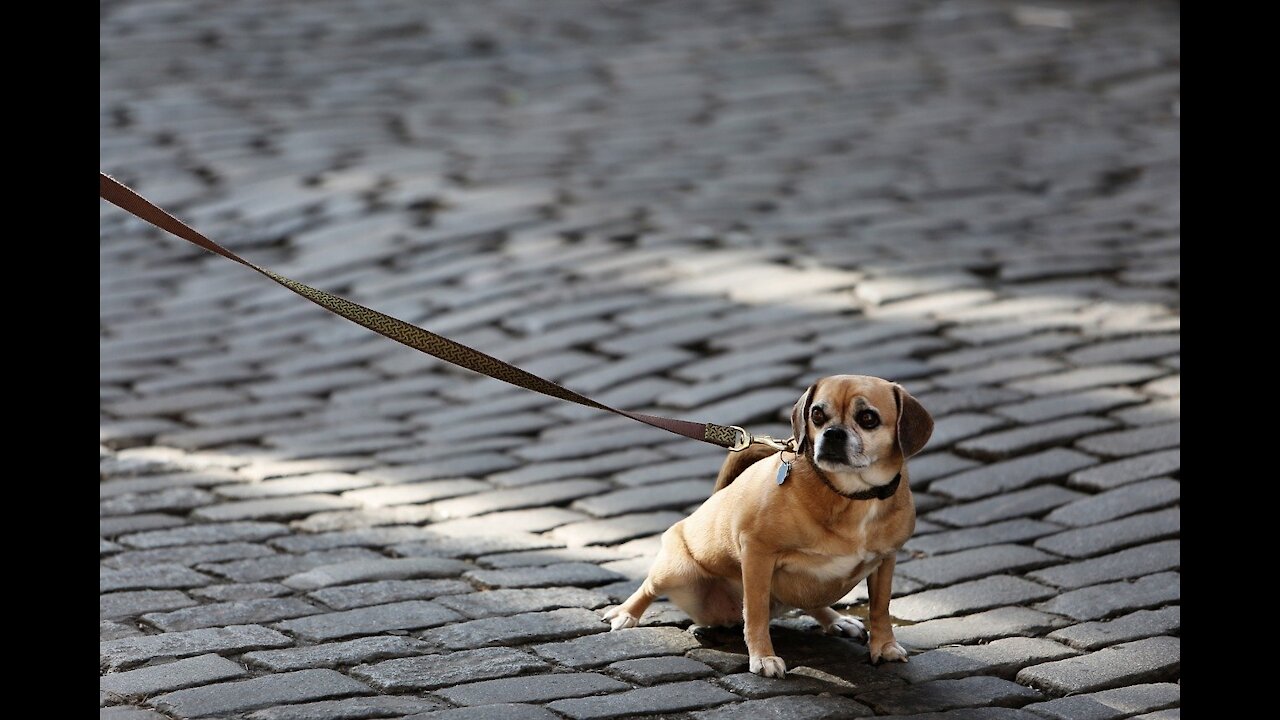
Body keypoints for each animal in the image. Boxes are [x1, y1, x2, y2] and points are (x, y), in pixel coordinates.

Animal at [604, 371, 936, 676]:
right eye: (817, 415)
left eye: (868, 418)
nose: (832, 433)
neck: (850, 495)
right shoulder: (757, 553)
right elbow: (756, 612)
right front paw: (763, 656)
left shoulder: (886, 560)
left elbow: (881, 608)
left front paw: (885, 646)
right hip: (676, 571)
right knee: (648, 587)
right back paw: (625, 614)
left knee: (811, 600)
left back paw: (837, 620)